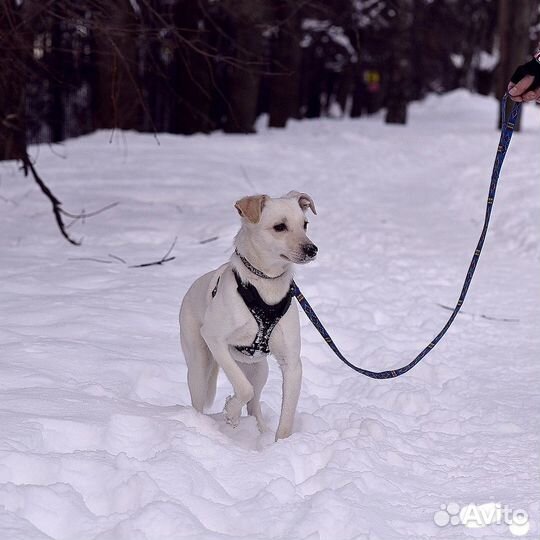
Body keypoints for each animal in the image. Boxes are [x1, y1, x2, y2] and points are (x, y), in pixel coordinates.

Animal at [179, 192, 318, 440]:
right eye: (280, 227)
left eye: (305, 224)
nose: (312, 249)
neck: (266, 284)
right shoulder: (214, 338)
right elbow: (244, 389)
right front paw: (231, 412)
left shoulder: (292, 363)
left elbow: (286, 416)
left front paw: (282, 444)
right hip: (199, 362)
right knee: (201, 400)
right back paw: (200, 425)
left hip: (259, 369)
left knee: (254, 404)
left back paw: (260, 431)